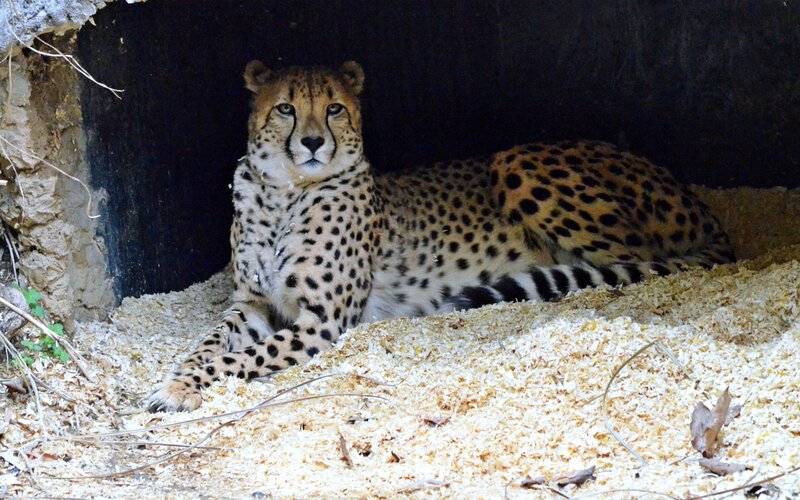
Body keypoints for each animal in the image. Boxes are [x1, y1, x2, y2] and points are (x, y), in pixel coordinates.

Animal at [145, 60, 734, 412]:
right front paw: (178, 376)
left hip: (515, 160)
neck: (284, 192)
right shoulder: (251, 303)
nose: (312, 142)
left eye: (334, 107)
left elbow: (236, 358)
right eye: (286, 107)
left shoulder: (323, 322)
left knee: (630, 266)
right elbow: (208, 344)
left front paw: (178, 389)